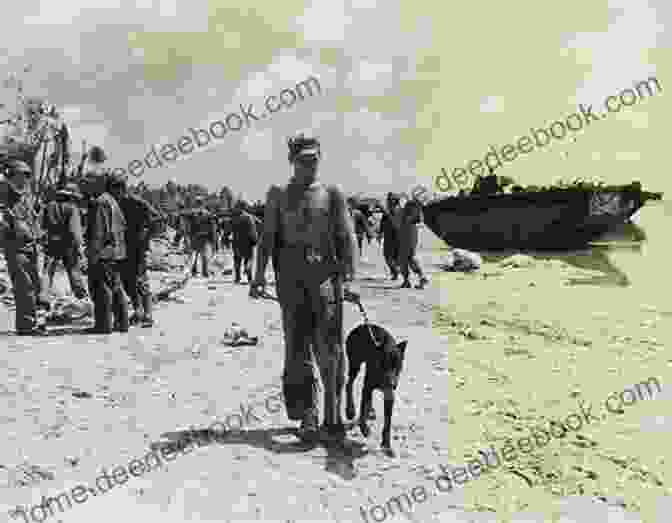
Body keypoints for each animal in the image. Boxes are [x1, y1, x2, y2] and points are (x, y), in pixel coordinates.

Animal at [346, 326, 404, 456]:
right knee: (349, 384)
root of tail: (360, 326)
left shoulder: (389, 396)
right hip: (355, 363)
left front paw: (387, 445)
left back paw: (371, 410)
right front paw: (364, 429)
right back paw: (350, 410)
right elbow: (362, 412)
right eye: (384, 364)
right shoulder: (366, 388)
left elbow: (387, 423)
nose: (392, 384)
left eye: (398, 366)